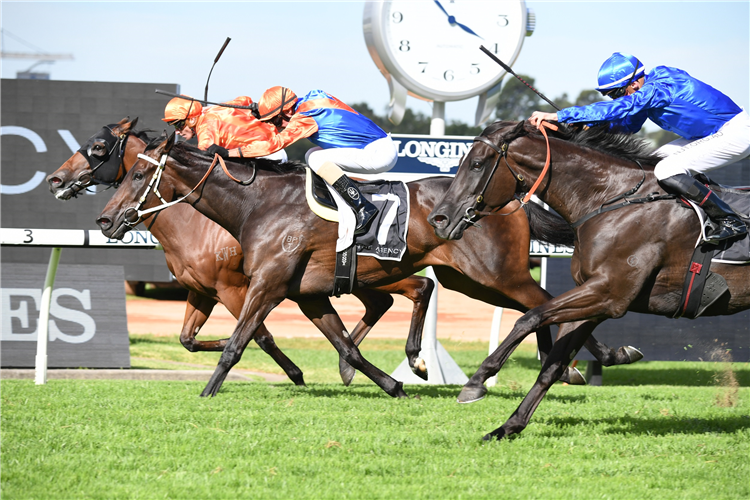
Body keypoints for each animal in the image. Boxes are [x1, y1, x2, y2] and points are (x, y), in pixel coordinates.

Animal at [47, 119, 434, 384]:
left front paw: (294, 373)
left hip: (374, 271)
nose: (55, 179)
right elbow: (188, 340)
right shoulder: (201, 290)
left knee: (417, 288)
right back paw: (355, 366)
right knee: (393, 297)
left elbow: (260, 334)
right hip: (357, 278)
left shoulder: (234, 288)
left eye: (98, 146)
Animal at [95, 133, 640, 398]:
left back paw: (591, 360)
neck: (259, 204)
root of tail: (511, 201)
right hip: (469, 279)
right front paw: (392, 383)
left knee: (544, 301)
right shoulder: (308, 292)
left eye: (140, 174)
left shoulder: (266, 283)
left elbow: (237, 342)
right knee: (530, 303)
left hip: (496, 271)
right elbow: (346, 348)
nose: (104, 219)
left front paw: (208, 392)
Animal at [428, 119, 750, 440]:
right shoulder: (593, 296)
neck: (613, 200)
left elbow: (528, 318)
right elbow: (551, 365)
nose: (438, 219)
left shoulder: (609, 293)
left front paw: (476, 382)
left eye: (477, 164)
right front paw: (508, 426)